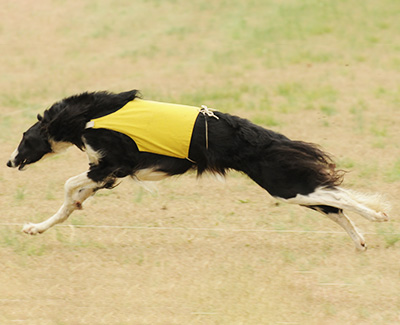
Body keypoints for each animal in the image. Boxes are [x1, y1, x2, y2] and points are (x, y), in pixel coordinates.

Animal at [5, 90, 390, 249]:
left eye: (25, 138)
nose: (9, 161)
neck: (85, 116)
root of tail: (273, 139)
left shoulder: (115, 164)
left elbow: (69, 185)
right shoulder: (107, 172)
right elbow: (69, 202)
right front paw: (35, 227)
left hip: (284, 185)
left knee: (337, 197)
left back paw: (378, 216)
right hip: (290, 185)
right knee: (333, 203)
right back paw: (361, 239)